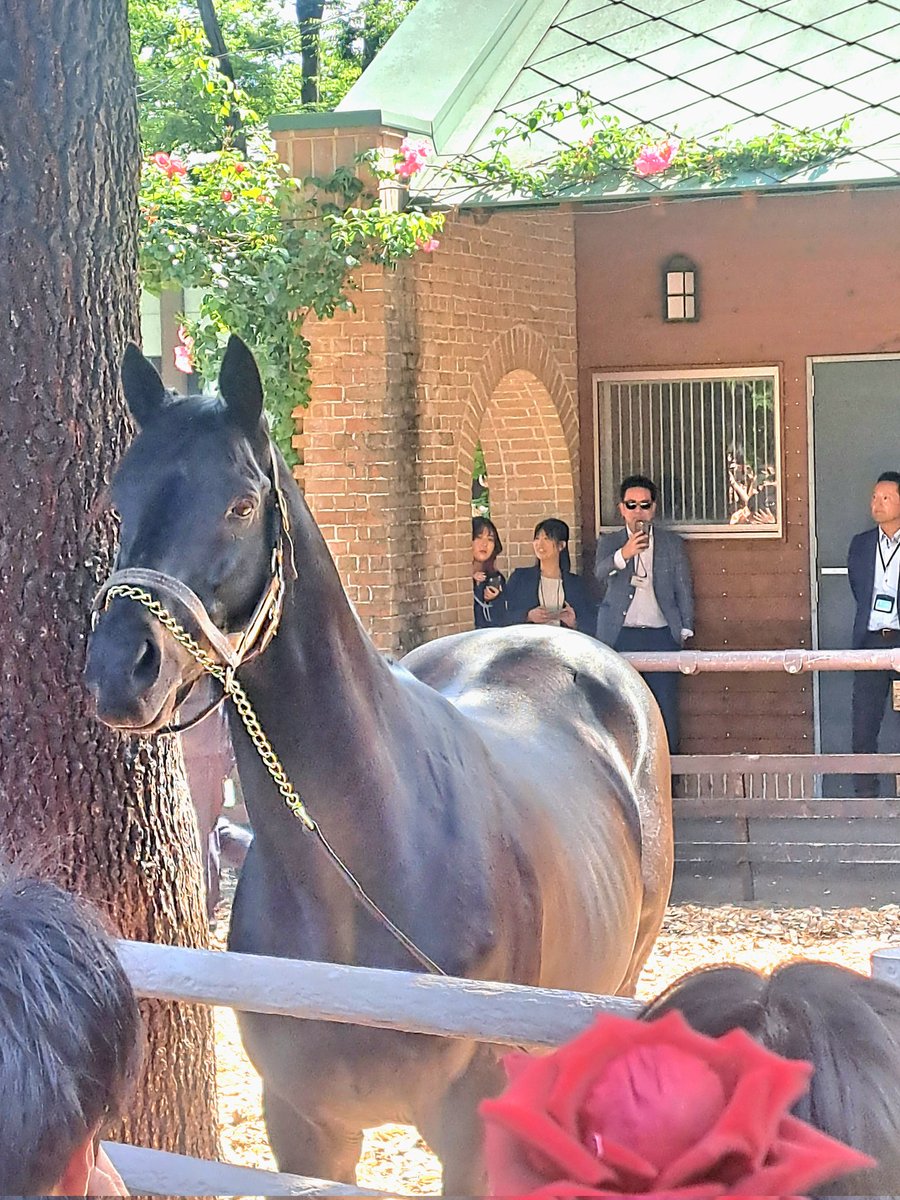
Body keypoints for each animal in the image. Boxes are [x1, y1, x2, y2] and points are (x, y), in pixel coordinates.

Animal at [85, 337, 673, 1192]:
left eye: (239, 504)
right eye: (121, 500)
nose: (120, 669)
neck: (363, 872)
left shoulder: (471, 1134)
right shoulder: (304, 1127)